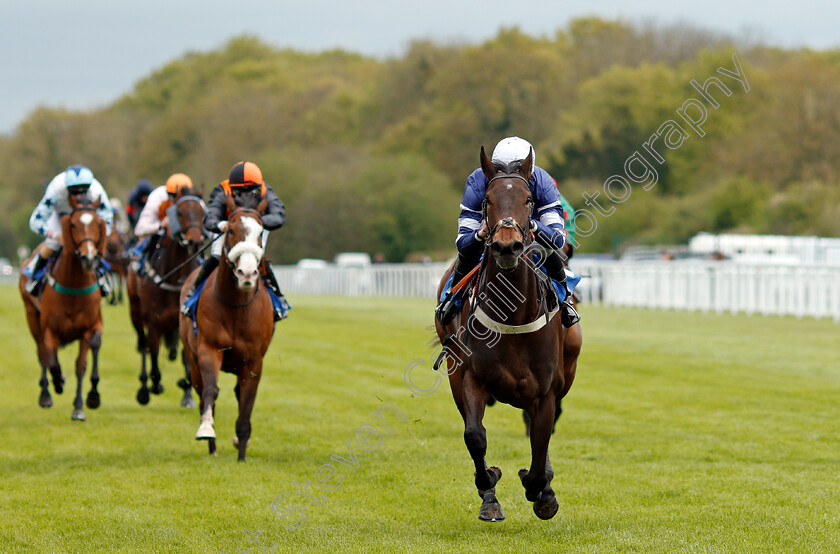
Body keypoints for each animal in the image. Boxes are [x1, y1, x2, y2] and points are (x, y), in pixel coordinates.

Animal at [19, 194, 107, 418]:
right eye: (73, 224)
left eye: (97, 223)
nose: (88, 257)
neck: (73, 286)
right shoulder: (50, 330)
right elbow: (52, 363)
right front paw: (58, 383)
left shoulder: (88, 327)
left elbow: (81, 365)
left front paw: (80, 407)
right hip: (31, 316)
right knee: (42, 354)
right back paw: (46, 394)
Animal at [128, 188, 207, 408]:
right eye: (179, 213)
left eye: (203, 214)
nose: (195, 241)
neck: (173, 276)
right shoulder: (153, 321)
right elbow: (153, 352)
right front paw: (154, 384)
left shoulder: (182, 320)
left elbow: (185, 357)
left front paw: (186, 389)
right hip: (135, 312)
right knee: (143, 345)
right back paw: (144, 388)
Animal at [179, 196, 274, 460]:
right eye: (230, 230)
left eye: (261, 232)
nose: (247, 273)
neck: (236, 305)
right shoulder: (209, 350)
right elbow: (211, 391)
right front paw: (206, 429)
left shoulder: (253, 361)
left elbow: (247, 402)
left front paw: (242, 448)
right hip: (192, 359)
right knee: (202, 392)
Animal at [436, 146, 580, 516]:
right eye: (487, 200)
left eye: (529, 200)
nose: (506, 246)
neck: (512, 314)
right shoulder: (471, 378)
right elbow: (475, 436)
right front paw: (489, 486)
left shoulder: (545, 392)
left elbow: (541, 443)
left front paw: (542, 491)